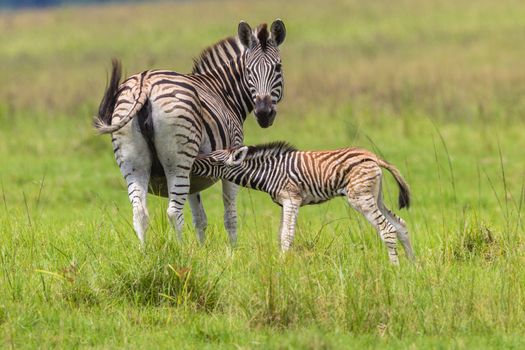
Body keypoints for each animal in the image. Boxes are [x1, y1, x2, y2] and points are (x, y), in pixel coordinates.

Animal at [94, 20, 286, 245]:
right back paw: (180, 250)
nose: (264, 113)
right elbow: (230, 215)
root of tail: (145, 83)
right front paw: (233, 250)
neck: (223, 91)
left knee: (140, 213)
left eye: (278, 67)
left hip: (132, 161)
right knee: (173, 212)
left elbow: (199, 218)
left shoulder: (195, 173)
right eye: (248, 70)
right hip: (178, 160)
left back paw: (144, 252)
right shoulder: (232, 160)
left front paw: (202, 250)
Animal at [190, 142, 416, 266]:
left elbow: (286, 235)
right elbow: (282, 234)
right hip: (374, 197)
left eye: (214, 161)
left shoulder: (292, 199)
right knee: (401, 225)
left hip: (360, 198)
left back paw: (394, 269)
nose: (192, 162)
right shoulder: (284, 203)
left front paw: (281, 265)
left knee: (387, 229)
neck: (269, 172)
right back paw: (412, 266)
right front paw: (280, 261)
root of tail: (373, 157)